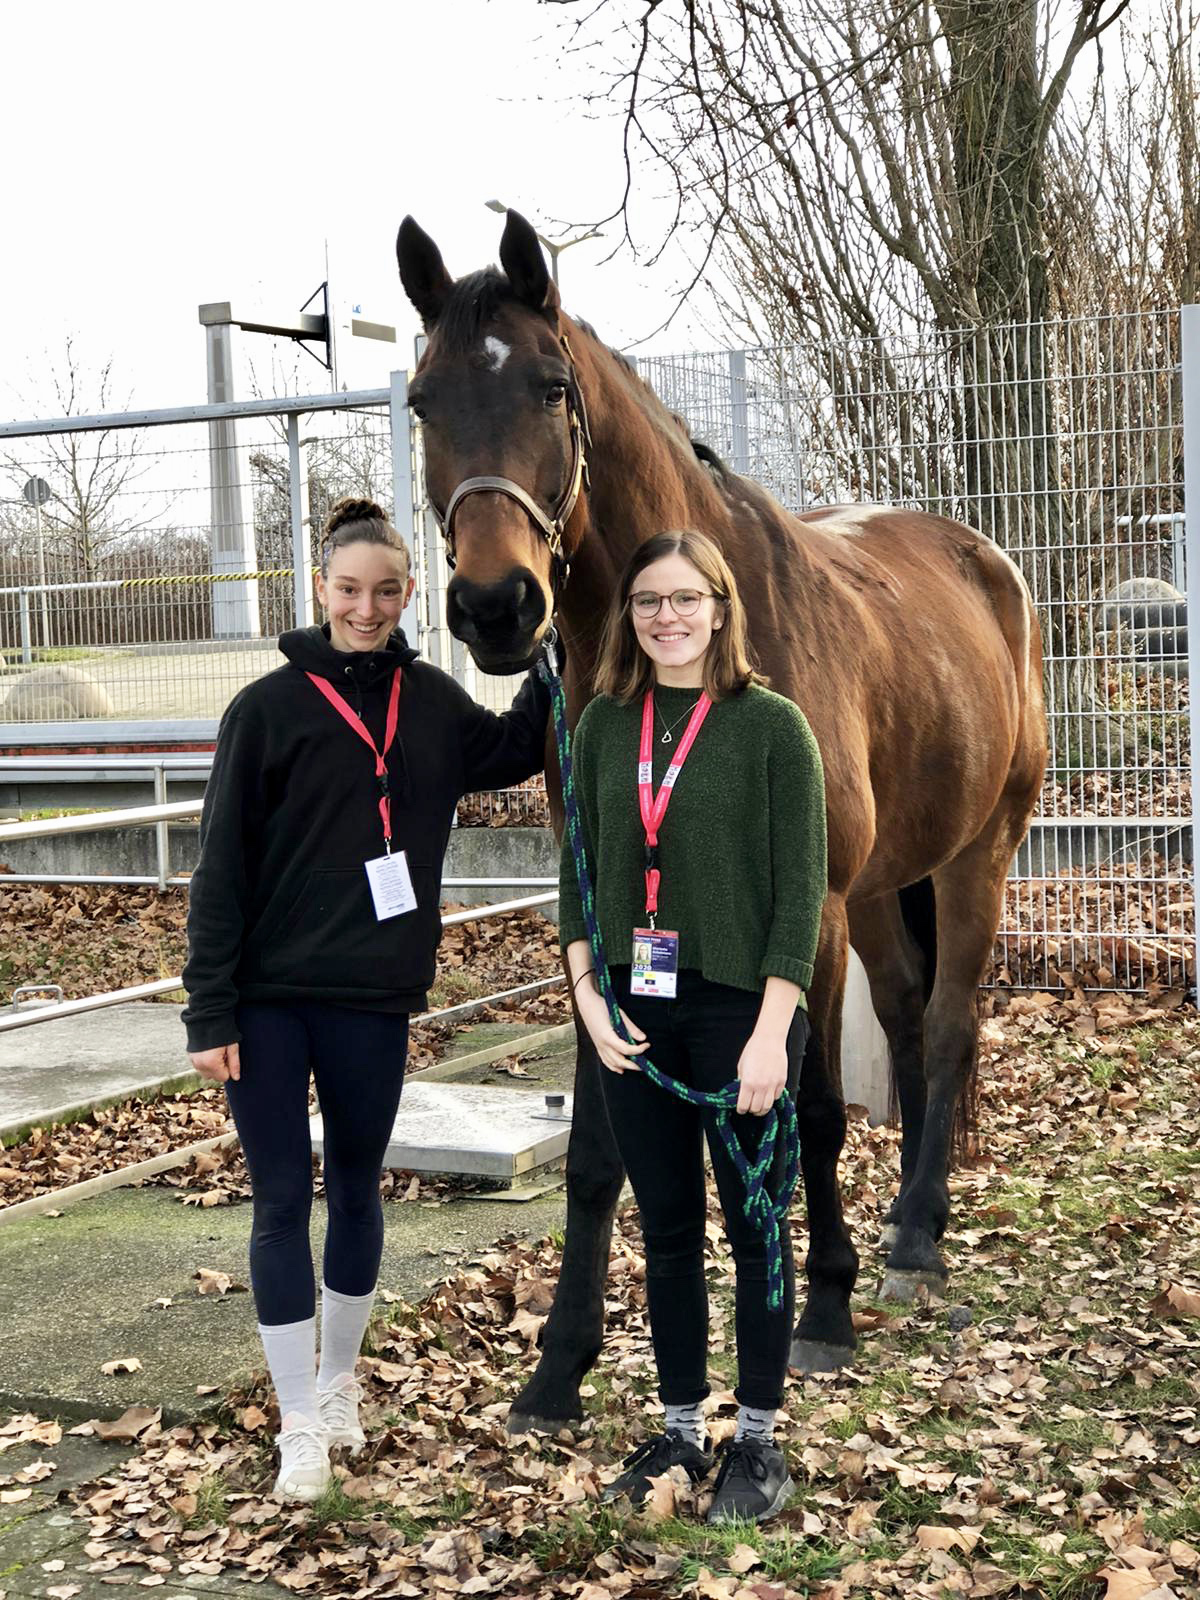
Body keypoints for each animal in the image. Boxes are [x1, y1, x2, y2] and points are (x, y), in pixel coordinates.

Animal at [400, 206, 1049, 1433]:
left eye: (550, 387)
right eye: (420, 399)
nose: (497, 608)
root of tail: (988, 562)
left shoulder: (808, 915)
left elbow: (811, 1111)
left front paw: (823, 1310)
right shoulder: (604, 929)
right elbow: (598, 1152)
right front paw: (559, 1366)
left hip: (972, 856)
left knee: (946, 1027)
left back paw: (912, 1242)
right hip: (885, 887)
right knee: (907, 1020)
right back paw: (916, 1219)